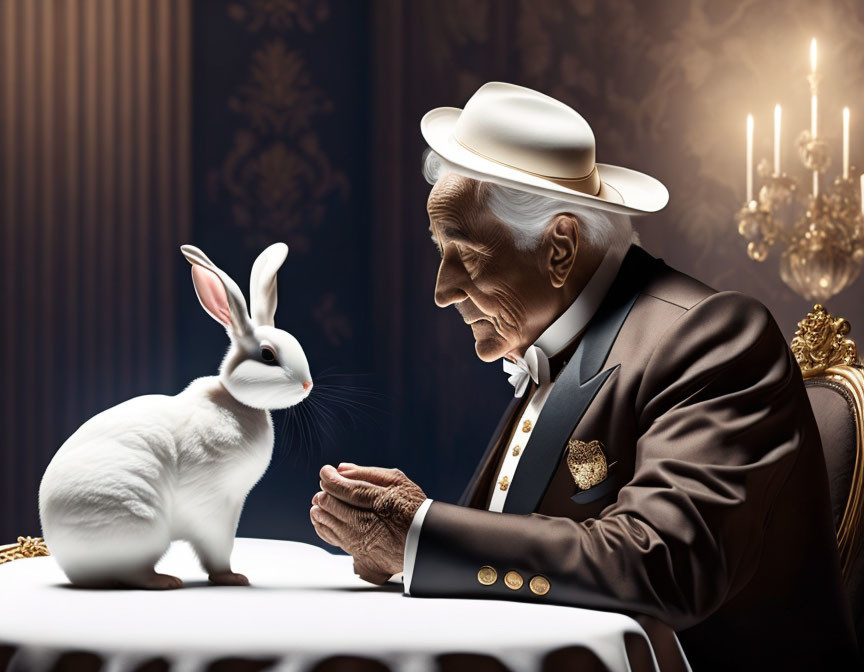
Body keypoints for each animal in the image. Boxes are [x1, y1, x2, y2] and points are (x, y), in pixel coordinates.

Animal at [40, 242, 312, 588]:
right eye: (267, 355)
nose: (307, 384)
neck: (234, 403)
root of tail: (73, 569)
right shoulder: (213, 504)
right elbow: (217, 549)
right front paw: (232, 578)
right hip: (141, 527)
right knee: (134, 573)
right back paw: (166, 581)